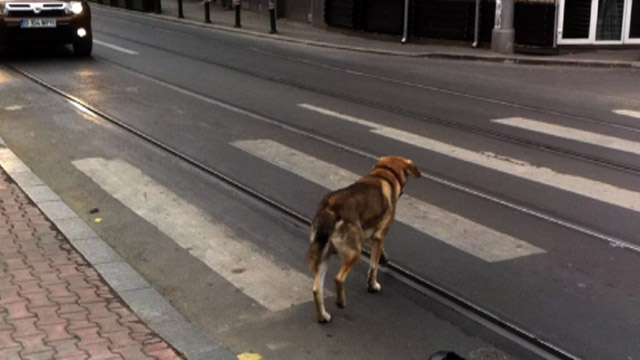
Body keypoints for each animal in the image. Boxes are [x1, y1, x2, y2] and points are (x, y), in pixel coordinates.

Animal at [306, 156, 420, 322]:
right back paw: (341, 302)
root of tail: (330, 208)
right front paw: (372, 285)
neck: (384, 173)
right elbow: (373, 267)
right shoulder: (380, 235)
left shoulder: (374, 236)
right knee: (338, 279)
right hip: (355, 253)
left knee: (316, 289)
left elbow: (379, 255)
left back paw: (323, 316)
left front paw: (383, 258)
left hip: (324, 256)